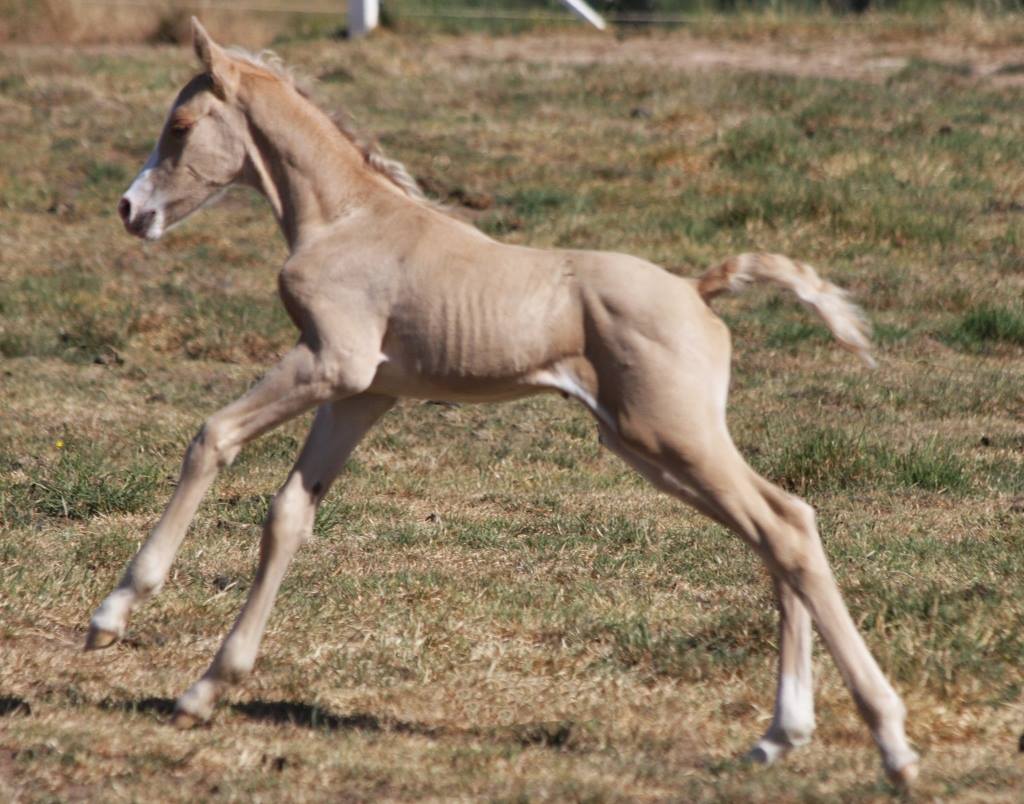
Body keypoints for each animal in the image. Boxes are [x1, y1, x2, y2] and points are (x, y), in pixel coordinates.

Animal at [88, 17, 921, 782]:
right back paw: (781, 734)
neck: (348, 218)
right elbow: (291, 514)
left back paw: (890, 743)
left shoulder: (331, 363)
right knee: (779, 527)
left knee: (786, 529)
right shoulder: (364, 395)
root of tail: (697, 289)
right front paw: (205, 690)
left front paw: (114, 614)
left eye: (180, 126)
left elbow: (212, 437)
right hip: (650, 445)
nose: (129, 210)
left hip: (672, 435)